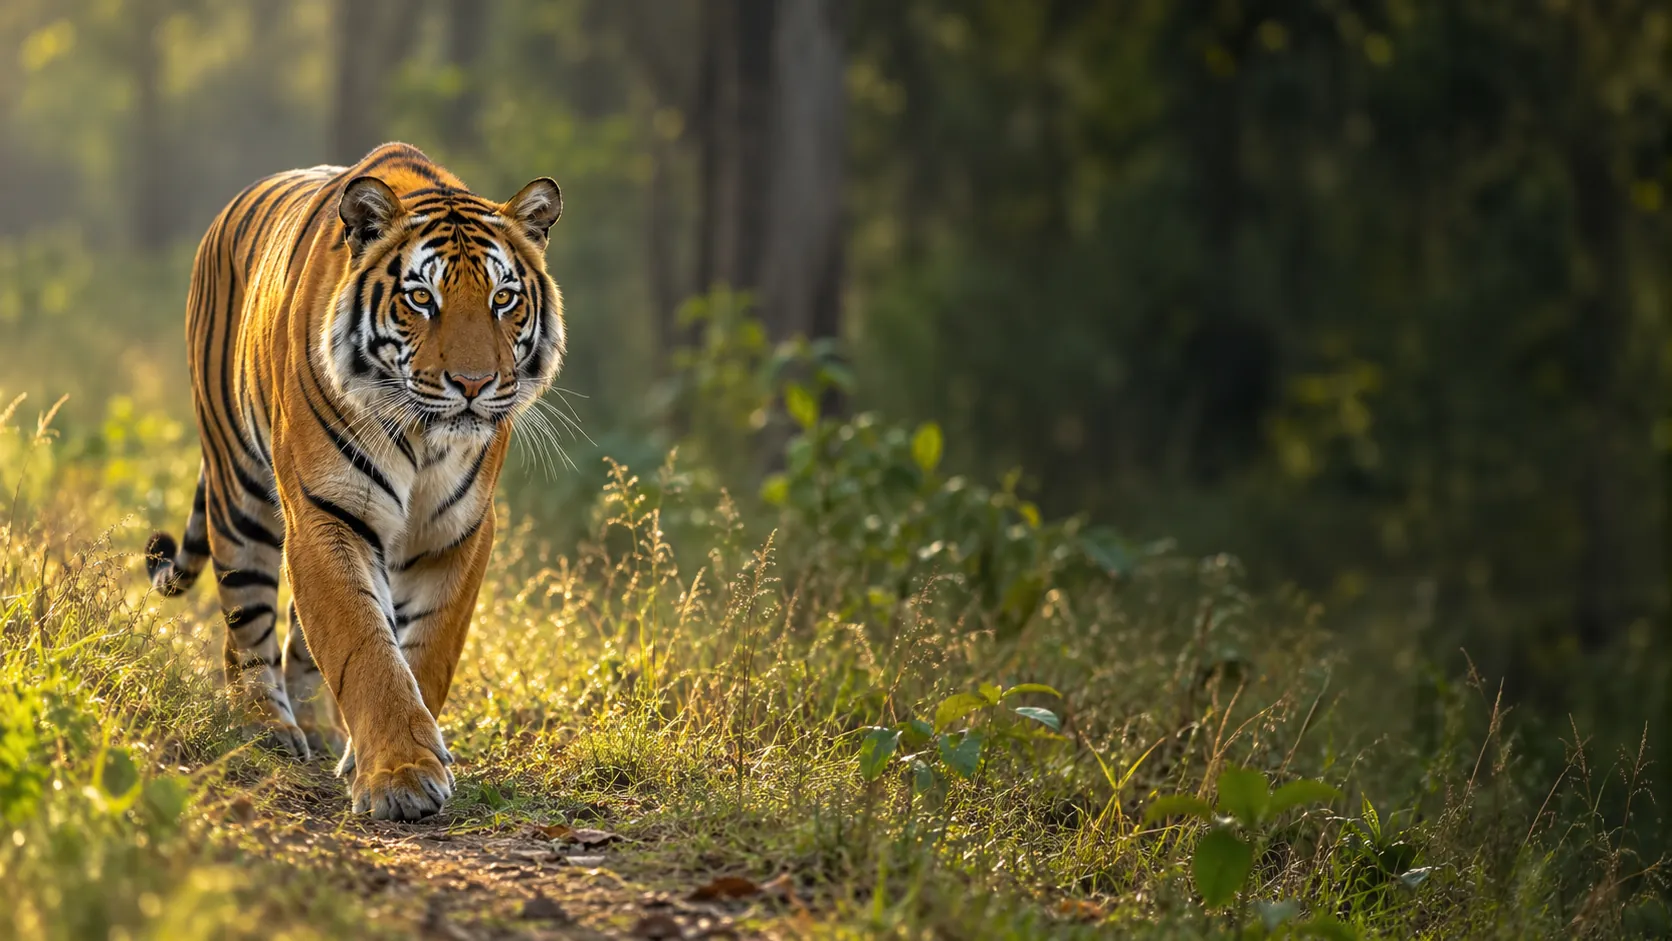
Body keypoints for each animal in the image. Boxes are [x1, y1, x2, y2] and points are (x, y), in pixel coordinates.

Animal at [144, 142, 564, 820]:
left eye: (503, 299)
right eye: (421, 298)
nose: (474, 384)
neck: (426, 437)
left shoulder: (461, 529)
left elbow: (428, 651)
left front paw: (391, 756)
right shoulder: (325, 511)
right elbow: (364, 644)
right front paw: (400, 776)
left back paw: (316, 728)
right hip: (240, 491)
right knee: (246, 626)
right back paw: (268, 729)